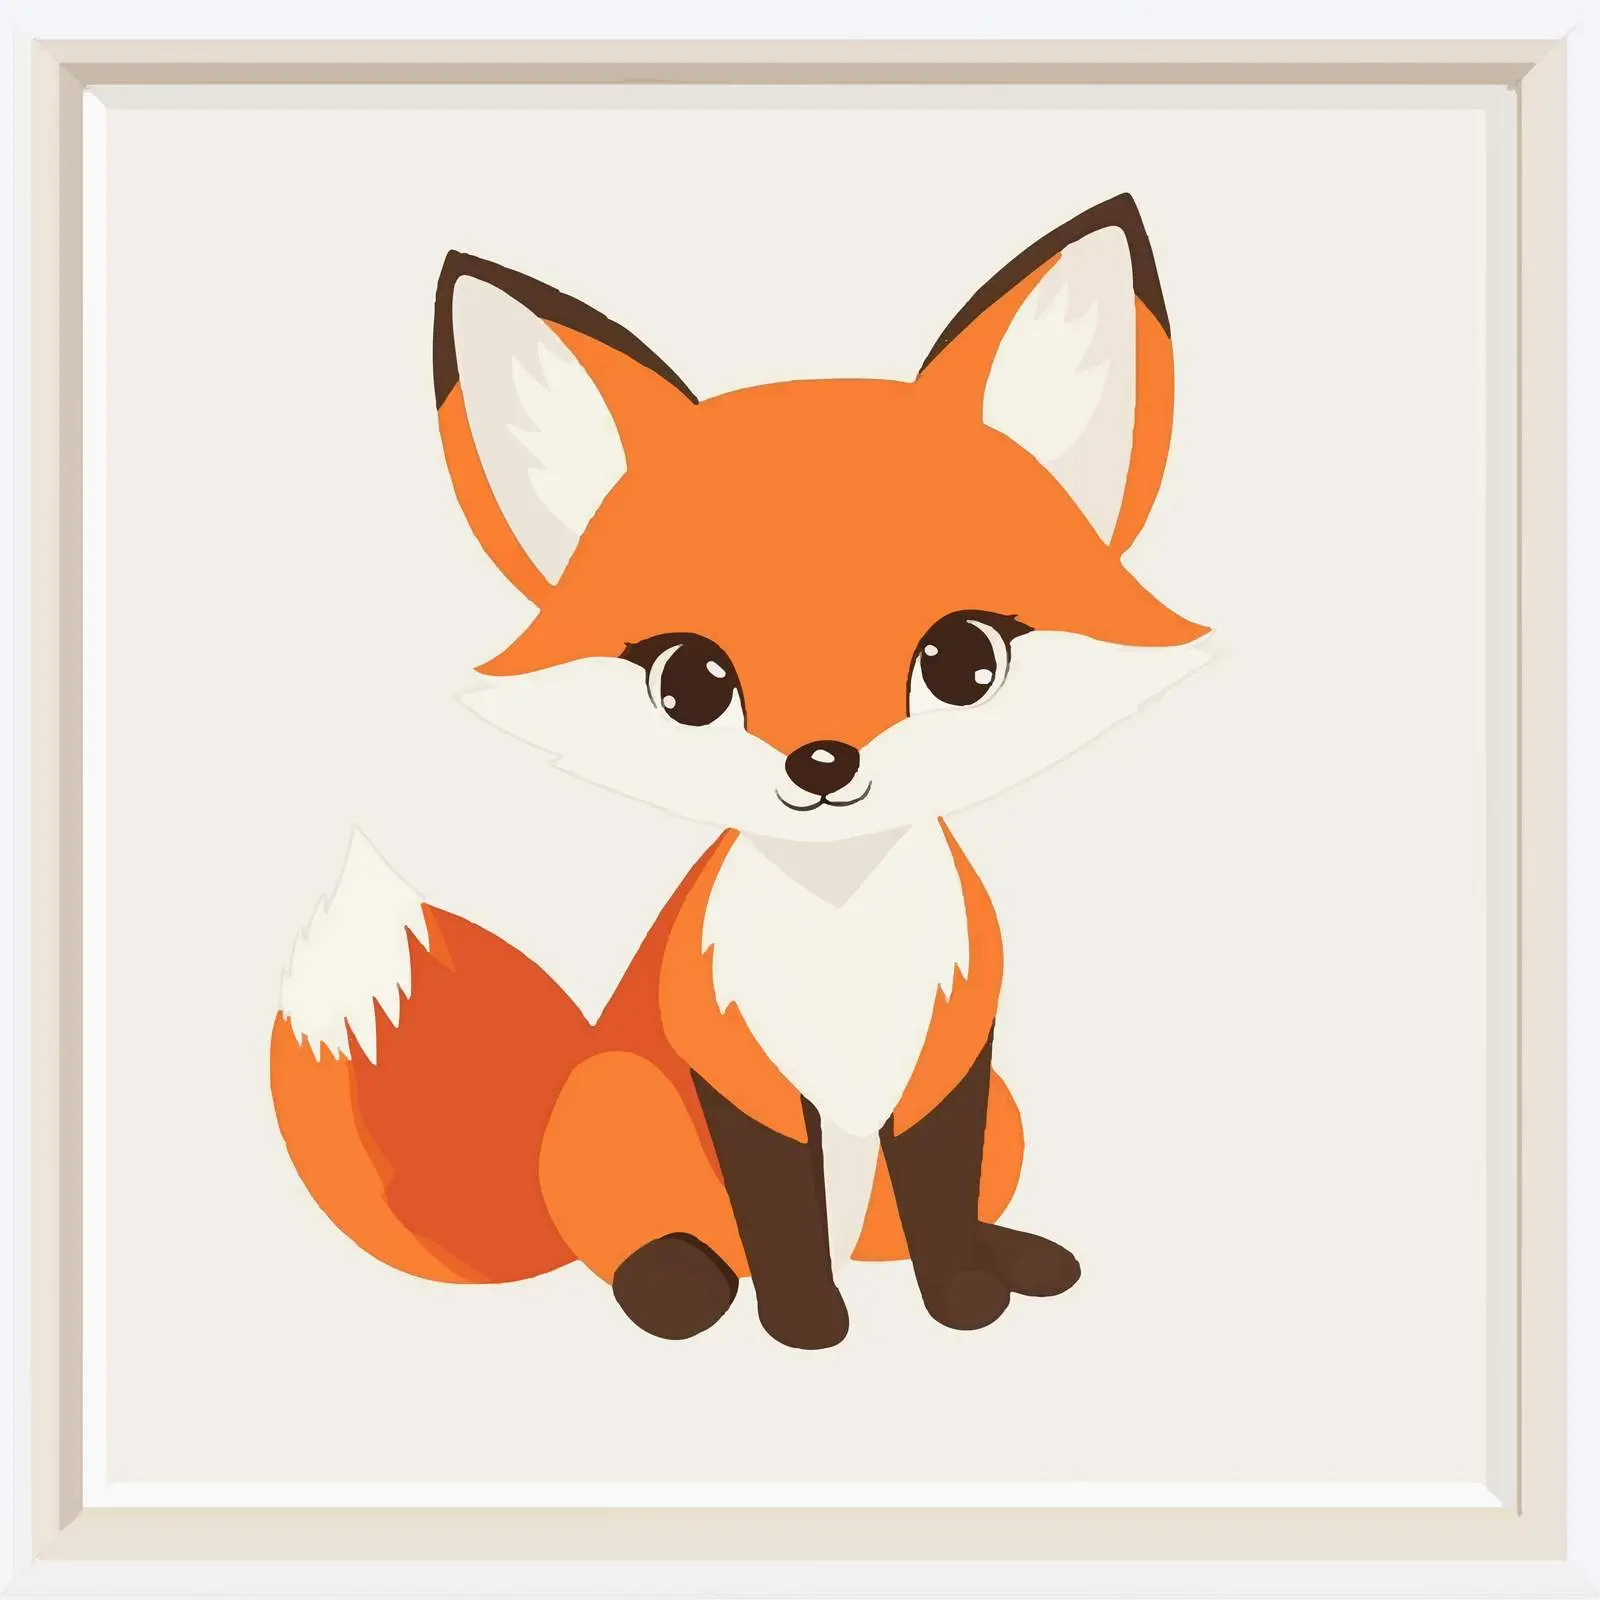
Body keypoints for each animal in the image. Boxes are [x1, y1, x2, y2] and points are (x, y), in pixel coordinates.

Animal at [270, 193, 1210, 1349]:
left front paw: (965, 1299)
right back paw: (678, 1284)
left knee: (899, 1232)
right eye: (689, 682)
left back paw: (1015, 1257)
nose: (823, 760)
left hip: (1009, 1118)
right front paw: (803, 1323)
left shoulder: (951, 1063)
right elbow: (779, 1217)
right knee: (644, 1244)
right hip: (619, 1097)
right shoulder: (735, 1067)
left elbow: (940, 1208)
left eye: (962, 661)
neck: (844, 935)